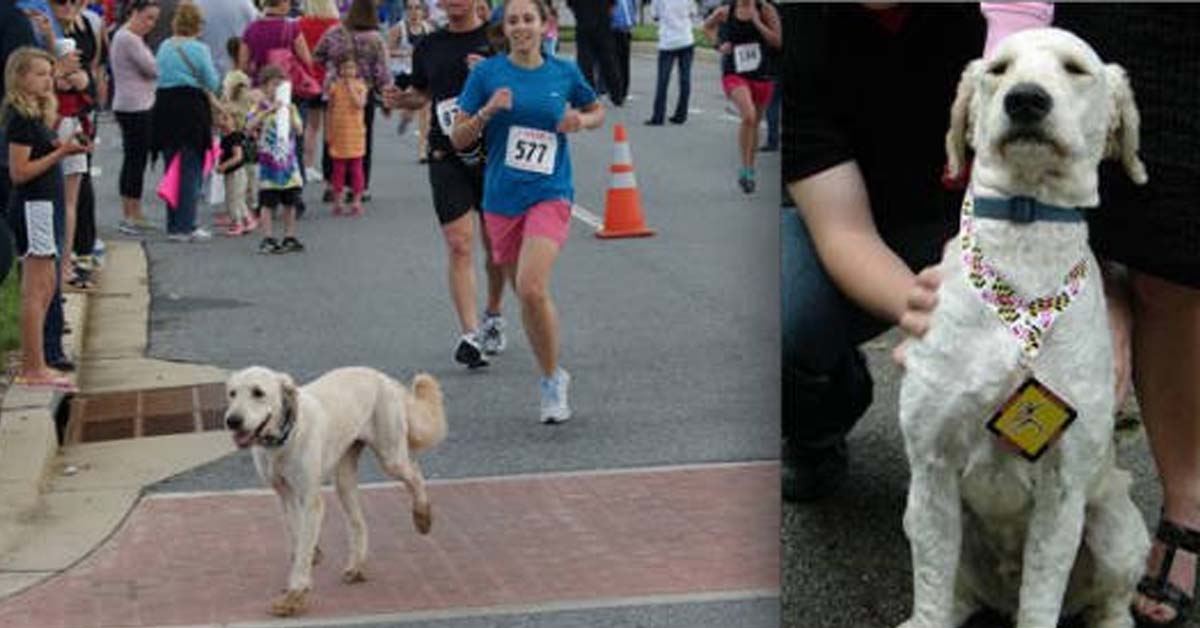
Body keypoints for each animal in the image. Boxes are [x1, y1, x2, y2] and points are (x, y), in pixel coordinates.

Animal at [222, 365, 446, 614]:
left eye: (258, 392)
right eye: (232, 394)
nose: (232, 420)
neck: (284, 438)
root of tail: (380, 376)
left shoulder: (311, 499)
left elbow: (303, 546)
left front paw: (295, 593)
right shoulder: (285, 494)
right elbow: (297, 533)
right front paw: (312, 557)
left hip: (391, 457)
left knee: (415, 474)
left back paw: (422, 516)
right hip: (344, 478)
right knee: (359, 523)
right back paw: (356, 566)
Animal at [902, 28, 1152, 628]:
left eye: (1075, 68)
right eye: (999, 68)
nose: (1027, 100)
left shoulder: (1063, 490)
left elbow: (1041, 599)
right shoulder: (931, 466)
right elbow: (931, 586)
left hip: (1114, 524)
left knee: (1109, 598)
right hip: (920, 518)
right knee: (957, 590)